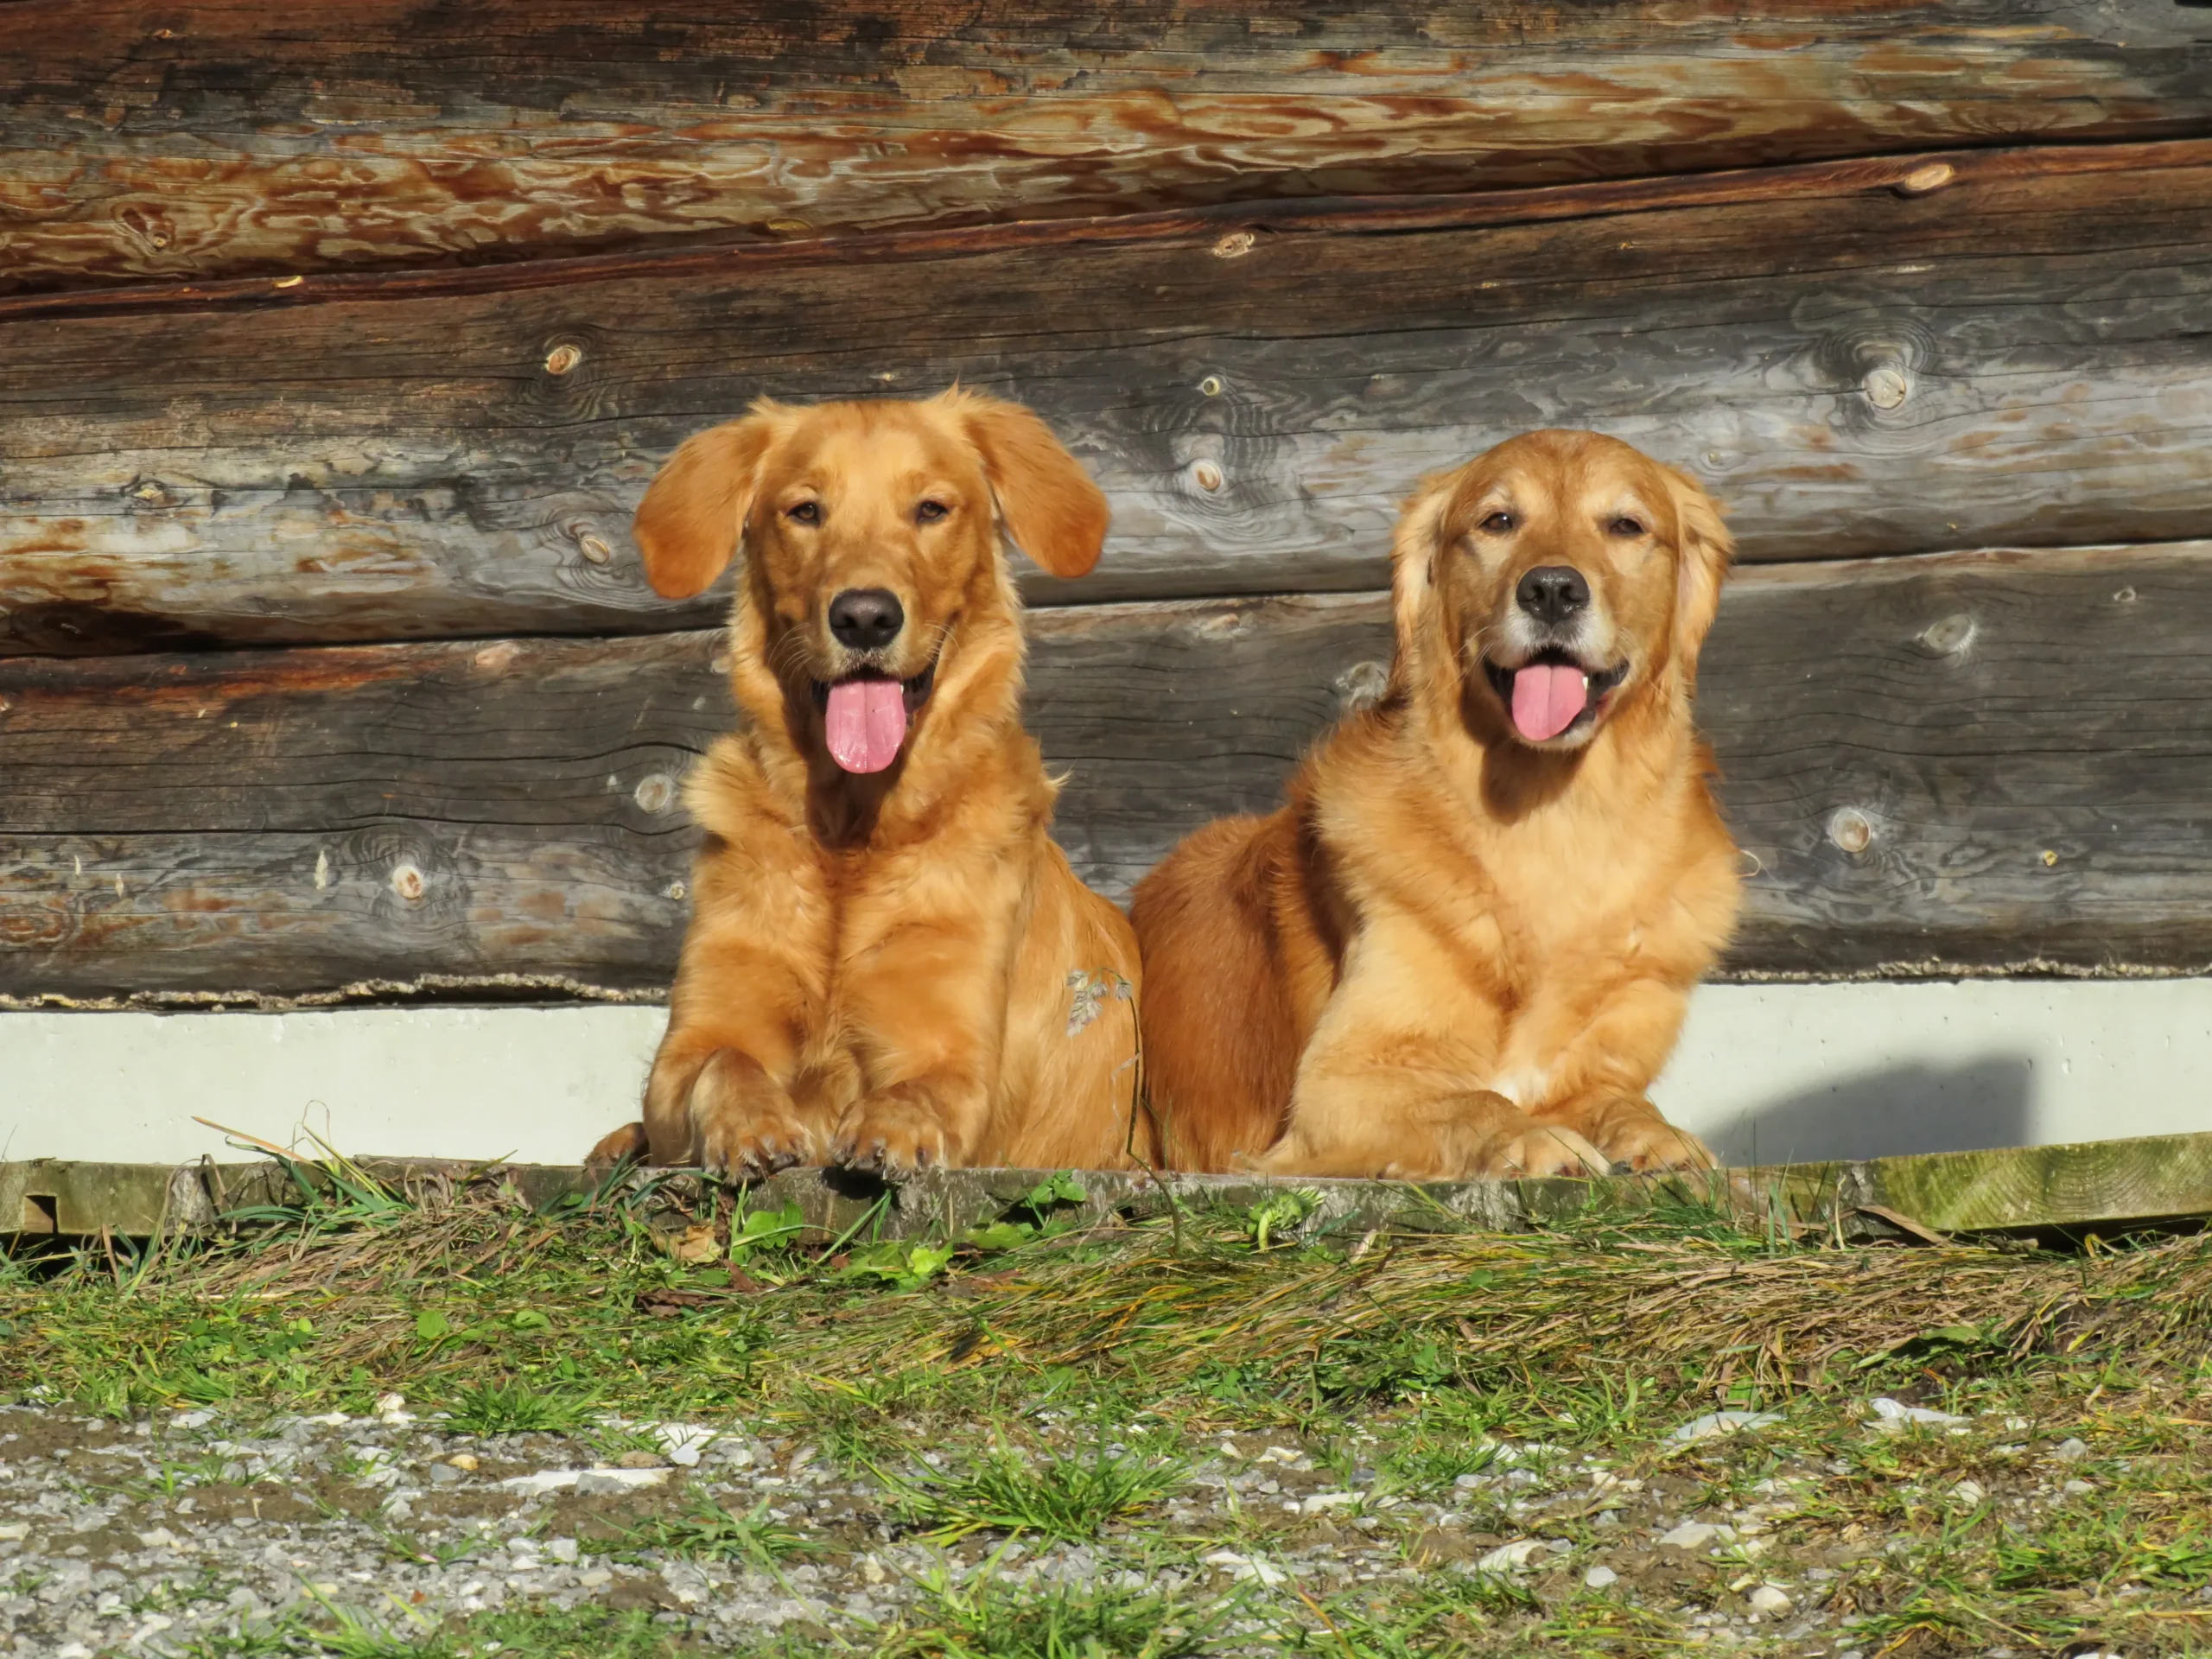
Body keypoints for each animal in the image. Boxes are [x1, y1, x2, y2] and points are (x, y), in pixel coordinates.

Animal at [579, 391, 1150, 1185]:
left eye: (932, 509)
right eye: (806, 510)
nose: (865, 617)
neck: (852, 829)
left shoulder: (953, 1050)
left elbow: (921, 1088)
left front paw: (892, 1127)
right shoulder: (691, 1044)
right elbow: (724, 1061)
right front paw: (750, 1124)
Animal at [1132, 429, 1734, 1185]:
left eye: (1625, 525)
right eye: (1498, 521)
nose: (1552, 589)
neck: (1553, 823)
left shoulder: (1600, 1066)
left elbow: (1623, 1100)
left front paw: (1659, 1138)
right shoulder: (1340, 1082)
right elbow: (1473, 1100)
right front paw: (1533, 1139)